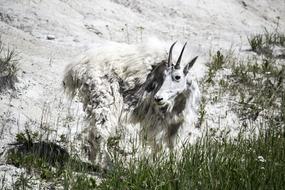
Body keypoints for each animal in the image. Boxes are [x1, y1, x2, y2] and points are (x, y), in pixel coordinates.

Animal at [62, 40, 200, 166]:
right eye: (163, 76)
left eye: (177, 77)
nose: (158, 98)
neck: (179, 103)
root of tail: (76, 68)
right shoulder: (158, 121)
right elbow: (158, 145)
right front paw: (157, 166)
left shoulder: (176, 124)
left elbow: (172, 146)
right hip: (105, 101)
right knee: (100, 131)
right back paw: (106, 164)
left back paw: (93, 160)